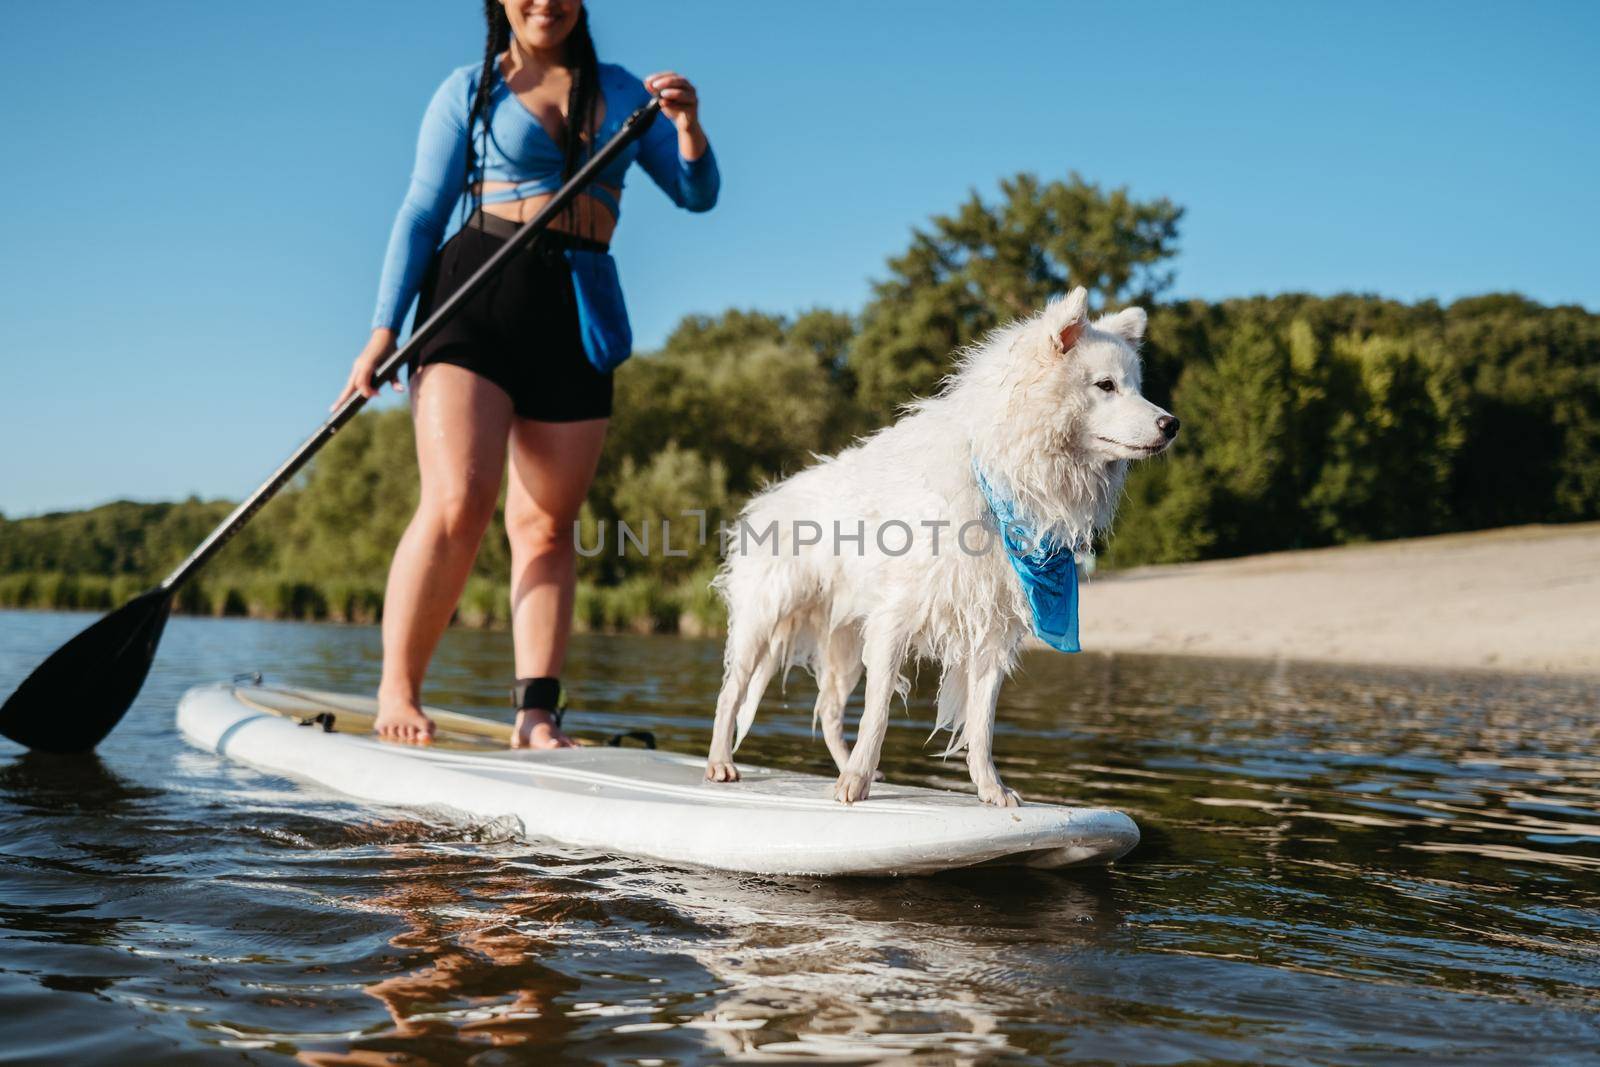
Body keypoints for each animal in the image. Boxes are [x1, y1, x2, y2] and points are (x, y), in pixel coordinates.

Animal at [707, 287, 1184, 806]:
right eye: (1105, 385)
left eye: (1136, 386)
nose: (1172, 423)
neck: (1004, 475)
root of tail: (768, 498)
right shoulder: (894, 618)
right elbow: (878, 714)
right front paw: (858, 779)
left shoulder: (992, 628)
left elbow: (981, 724)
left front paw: (992, 789)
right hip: (764, 618)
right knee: (731, 693)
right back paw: (724, 763)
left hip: (846, 638)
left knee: (829, 710)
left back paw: (846, 769)